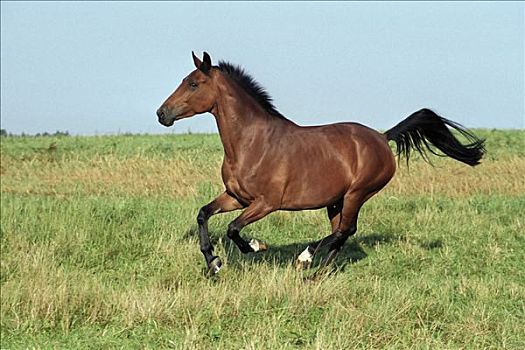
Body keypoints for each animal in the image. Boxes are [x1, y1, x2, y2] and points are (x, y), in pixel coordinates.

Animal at [156, 52, 484, 276]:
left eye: (194, 84)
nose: (162, 114)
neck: (252, 142)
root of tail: (382, 137)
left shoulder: (266, 203)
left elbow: (233, 229)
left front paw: (255, 247)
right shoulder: (236, 197)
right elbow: (203, 214)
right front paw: (213, 261)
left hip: (357, 194)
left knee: (345, 230)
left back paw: (306, 258)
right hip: (335, 200)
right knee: (342, 233)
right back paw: (318, 274)